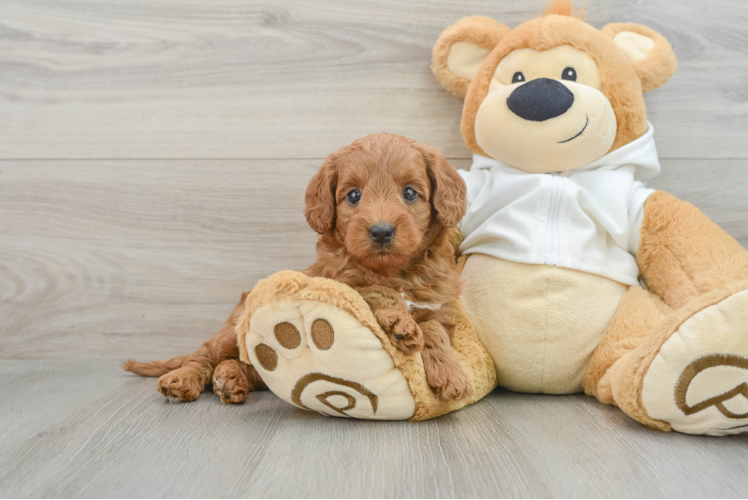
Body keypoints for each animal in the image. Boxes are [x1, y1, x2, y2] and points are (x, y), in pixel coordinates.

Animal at [125, 133, 470, 402]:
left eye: (410, 192)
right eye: (353, 195)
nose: (381, 231)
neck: (394, 270)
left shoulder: (442, 307)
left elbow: (435, 328)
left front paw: (451, 373)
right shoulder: (338, 282)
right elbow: (376, 290)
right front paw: (400, 321)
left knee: (249, 368)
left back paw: (230, 380)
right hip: (230, 331)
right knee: (204, 355)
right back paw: (183, 380)